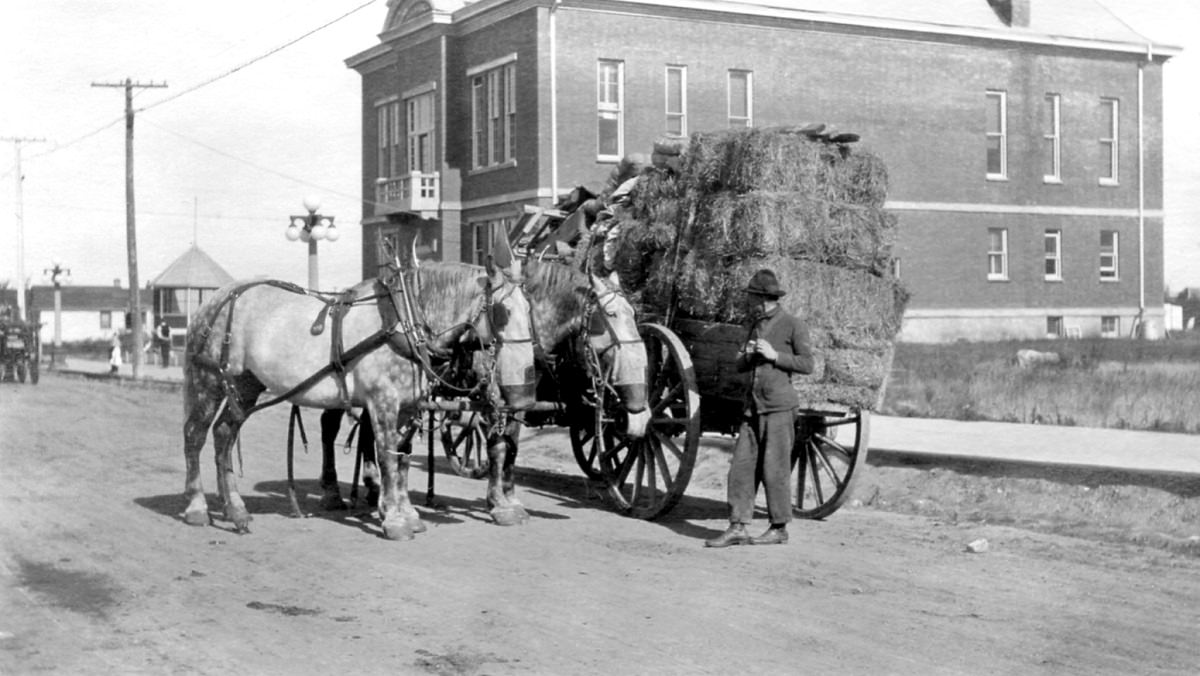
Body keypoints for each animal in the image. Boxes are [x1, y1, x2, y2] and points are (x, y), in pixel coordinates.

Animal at [178, 256, 535, 542]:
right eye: (504, 311)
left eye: (530, 309)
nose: (525, 388)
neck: (403, 322)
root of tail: (213, 300)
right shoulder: (383, 402)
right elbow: (387, 456)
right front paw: (395, 521)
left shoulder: (406, 408)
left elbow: (402, 458)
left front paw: (405, 514)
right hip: (208, 382)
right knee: (195, 435)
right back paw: (196, 507)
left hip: (244, 386)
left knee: (223, 435)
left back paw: (235, 510)